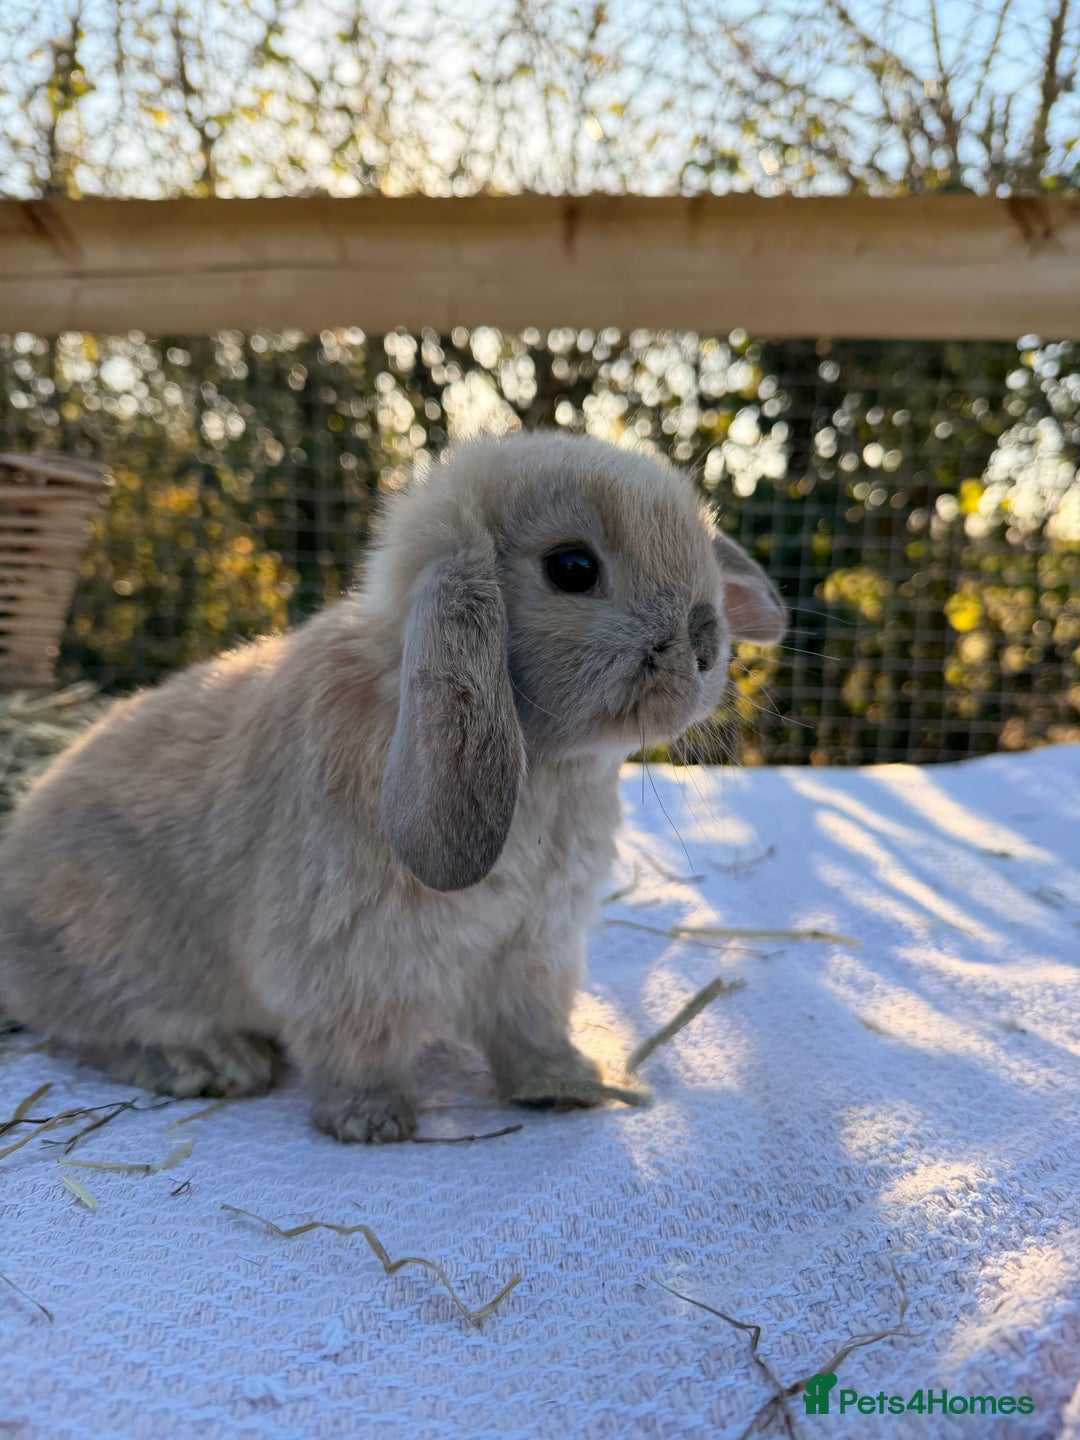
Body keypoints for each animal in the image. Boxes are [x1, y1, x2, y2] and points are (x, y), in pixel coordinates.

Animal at [0, 430, 785, 1142]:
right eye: (572, 567)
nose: (706, 644)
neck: (546, 765)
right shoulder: (349, 958)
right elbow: (357, 1043)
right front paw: (371, 1120)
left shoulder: (534, 949)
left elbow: (530, 1029)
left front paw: (567, 1084)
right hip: (113, 951)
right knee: (92, 1028)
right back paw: (210, 1062)